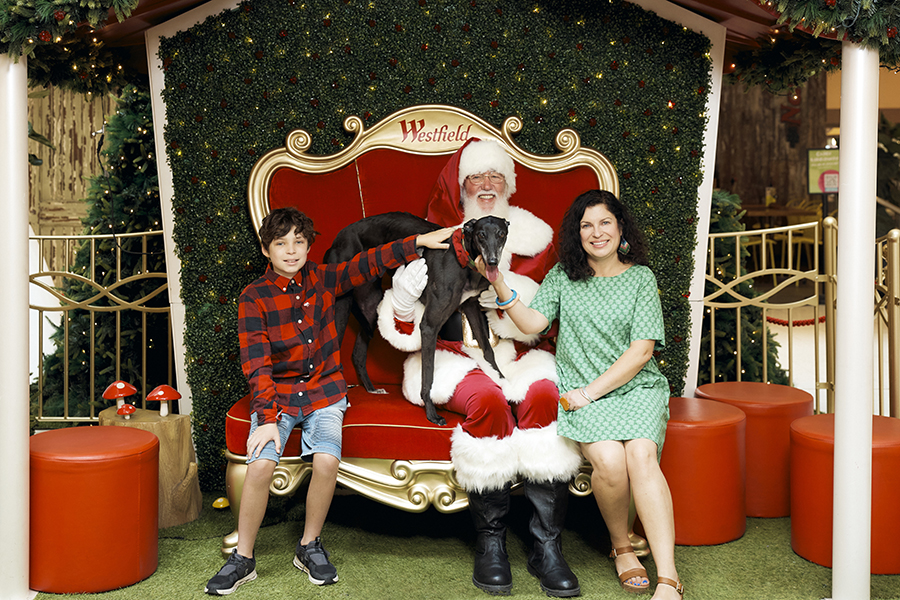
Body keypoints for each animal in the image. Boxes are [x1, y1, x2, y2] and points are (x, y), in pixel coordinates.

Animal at [324, 211, 510, 426]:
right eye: (481, 235)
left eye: (501, 234)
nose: (492, 261)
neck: (464, 258)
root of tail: (338, 238)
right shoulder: (429, 325)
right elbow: (428, 374)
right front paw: (431, 413)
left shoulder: (470, 307)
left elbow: (488, 350)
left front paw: (503, 380)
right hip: (341, 303)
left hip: (370, 305)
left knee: (358, 353)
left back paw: (371, 388)